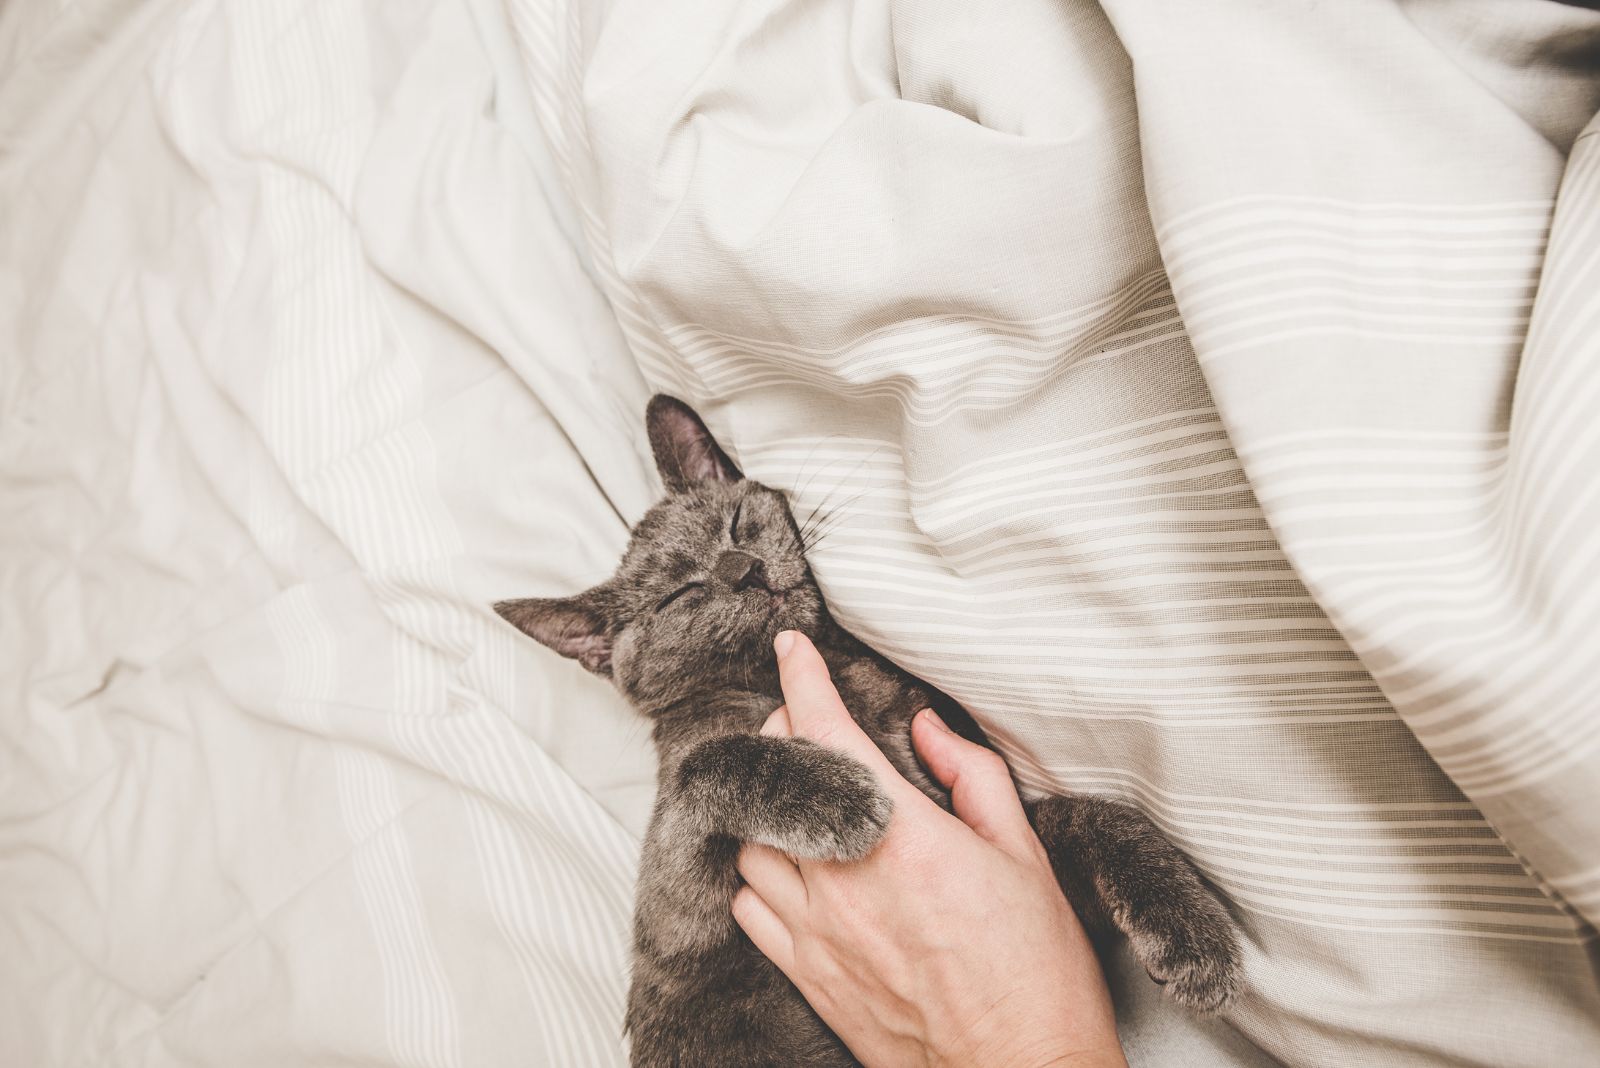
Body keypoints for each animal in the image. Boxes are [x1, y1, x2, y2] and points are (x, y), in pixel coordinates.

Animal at [492, 396, 1241, 1068]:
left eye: (735, 524)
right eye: (683, 595)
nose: (746, 570)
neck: (825, 670)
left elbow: (1093, 815)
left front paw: (1190, 930)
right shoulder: (676, 904)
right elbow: (709, 760)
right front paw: (836, 799)